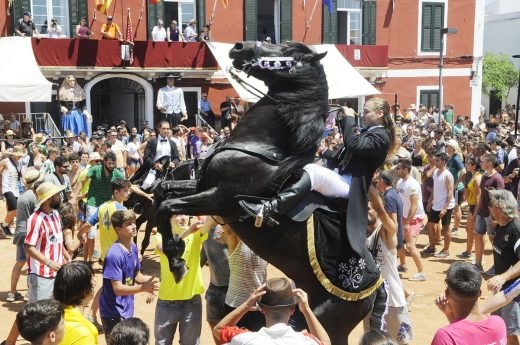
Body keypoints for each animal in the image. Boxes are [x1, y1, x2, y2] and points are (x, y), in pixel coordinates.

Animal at [154, 41, 382, 342]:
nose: (239, 47)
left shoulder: (220, 199)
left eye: (285, 51)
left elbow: (166, 206)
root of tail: (374, 285)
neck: (261, 146)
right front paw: (176, 253)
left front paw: (177, 262)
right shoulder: (203, 187)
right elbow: (162, 192)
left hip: (328, 321)